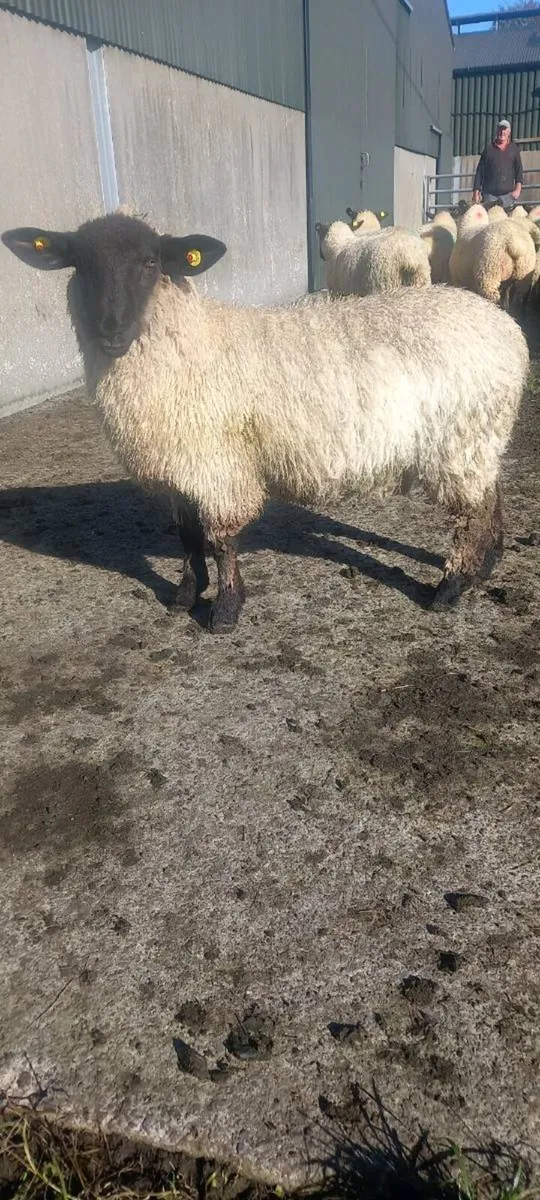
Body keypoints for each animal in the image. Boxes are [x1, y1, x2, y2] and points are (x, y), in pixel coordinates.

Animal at [2, 214, 529, 632]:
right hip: (480, 436)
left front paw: (225, 611)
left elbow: (219, 540)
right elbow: (188, 537)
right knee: (492, 494)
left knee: (472, 512)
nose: (110, 332)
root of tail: (508, 332)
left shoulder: (218, 467)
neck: (190, 345)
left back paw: (450, 588)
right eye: (78, 263)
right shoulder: (183, 468)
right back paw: (488, 564)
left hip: (460, 439)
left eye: (151, 262)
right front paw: (184, 596)